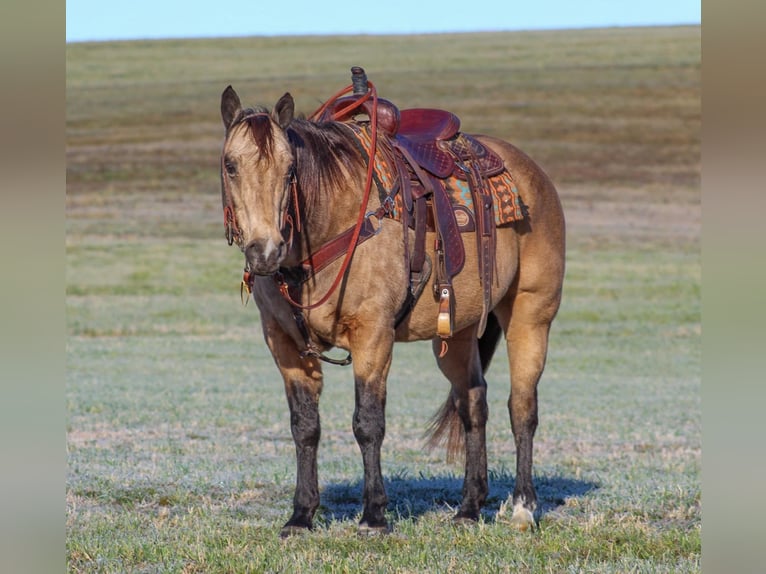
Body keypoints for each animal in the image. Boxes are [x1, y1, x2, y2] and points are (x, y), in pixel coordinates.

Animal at [219, 68, 568, 540]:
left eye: (289, 168)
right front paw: (301, 515)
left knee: (522, 408)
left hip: (531, 315)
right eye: (230, 165)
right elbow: (305, 427)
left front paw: (374, 517)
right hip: (457, 332)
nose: (265, 251)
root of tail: (533, 173)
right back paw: (468, 507)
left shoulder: (373, 335)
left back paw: (522, 508)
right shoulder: (284, 344)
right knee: (473, 403)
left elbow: (368, 423)